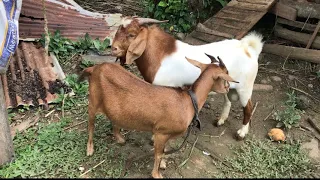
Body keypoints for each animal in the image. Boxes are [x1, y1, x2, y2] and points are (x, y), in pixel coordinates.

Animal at [81, 54, 236, 178]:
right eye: (226, 74)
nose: (228, 88)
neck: (189, 102)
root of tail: (94, 68)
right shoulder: (161, 132)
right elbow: (159, 153)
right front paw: (157, 174)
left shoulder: (166, 134)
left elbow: (164, 150)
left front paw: (162, 164)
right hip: (93, 101)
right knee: (90, 124)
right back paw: (89, 149)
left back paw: (119, 138)